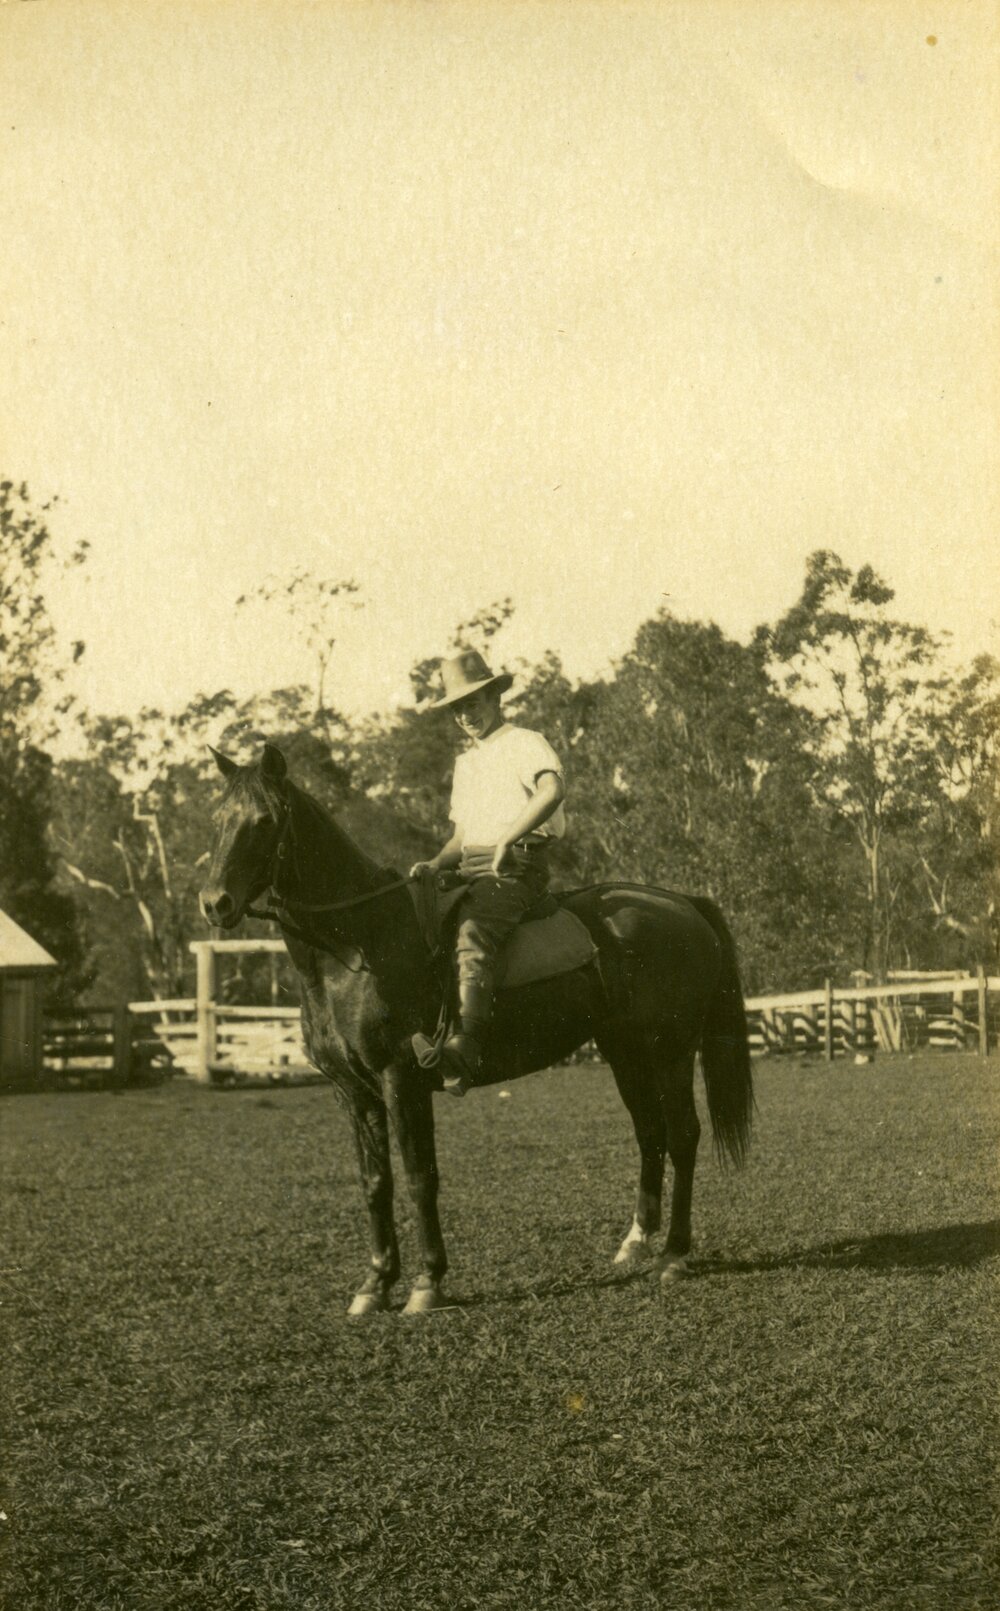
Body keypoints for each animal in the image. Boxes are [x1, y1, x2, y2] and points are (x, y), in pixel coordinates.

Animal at [199, 743, 754, 1315]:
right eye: (216, 819)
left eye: (265, 821)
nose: (215, 903)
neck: (358, 945)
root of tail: (683, 903)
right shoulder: (352, 1092)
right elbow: (375, 1182)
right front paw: (375, 1284)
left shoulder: (401, 1081)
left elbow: (419, 1177)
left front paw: (427, 1282)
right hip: (626, 1053)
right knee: (651, 1134)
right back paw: (635, 1243)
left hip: (671, 1051)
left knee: (683, 1135)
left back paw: (674, 1255)